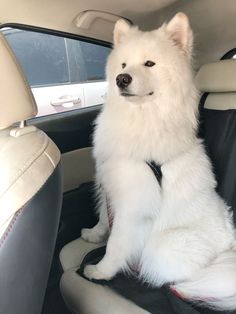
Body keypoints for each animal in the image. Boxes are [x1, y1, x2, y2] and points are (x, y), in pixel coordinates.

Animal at [81, 12, 236, 312]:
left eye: (149, 63)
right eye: (123, 64)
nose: (121, 78)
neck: (139, 118)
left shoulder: (132, 207)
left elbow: (116, 243)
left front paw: (101, 271)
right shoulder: (109, 186)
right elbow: (104, 219)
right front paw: (94, 235)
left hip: (164, 246)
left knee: (192, 277)